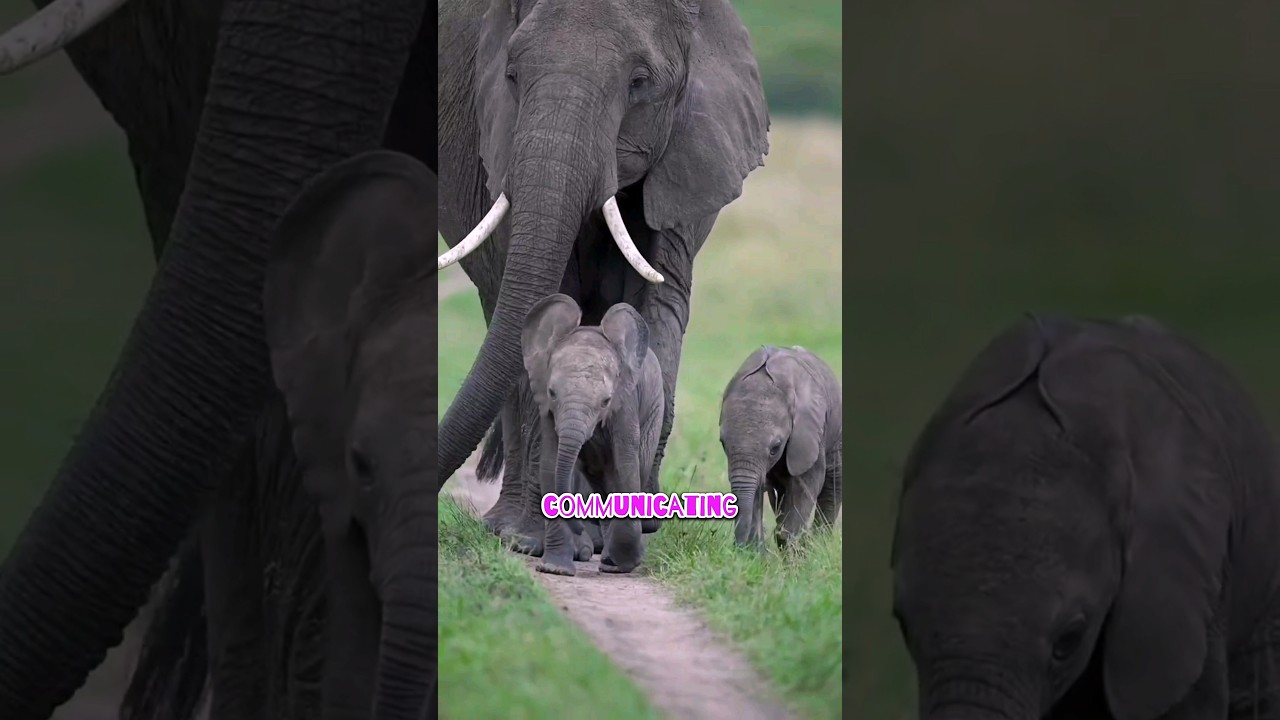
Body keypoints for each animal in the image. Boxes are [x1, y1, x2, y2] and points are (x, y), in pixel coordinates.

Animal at [522, 294, 665, 576]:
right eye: (552, 392)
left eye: (605, 401)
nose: (578, 527)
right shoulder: (548, 412)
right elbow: (550, 465)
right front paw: (556, 569)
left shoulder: (625, 404)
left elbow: (626, 465)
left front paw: (622, 566)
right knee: (602, 484)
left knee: (632, 471)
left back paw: (613, 562)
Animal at [718, 345, 842, 551]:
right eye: (722, 443)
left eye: (775, 448)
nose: (737, 548)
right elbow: (759, 489)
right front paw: (756, 553)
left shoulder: (810, 434)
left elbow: (805, 487)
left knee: (832, 486)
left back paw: (818, 545)